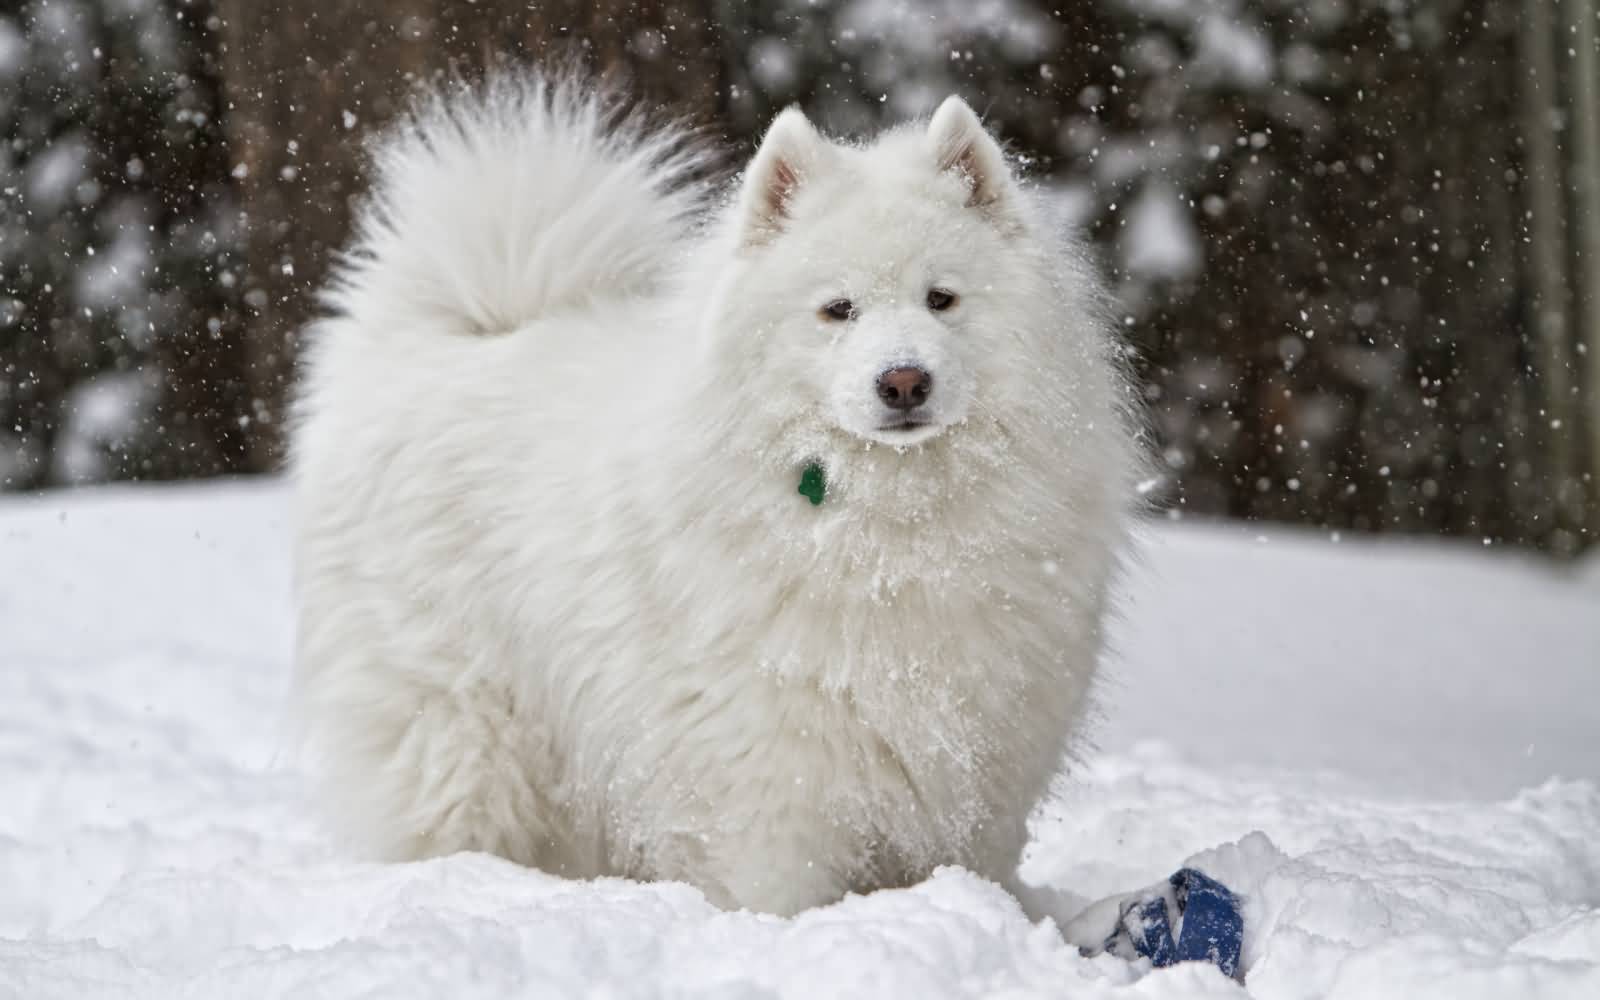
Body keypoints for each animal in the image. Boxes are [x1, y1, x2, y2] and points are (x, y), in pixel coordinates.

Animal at [288, 76, 1139, 921]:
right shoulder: (769, 775)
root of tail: (461, 335)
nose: (904, 381)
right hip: (464, 733)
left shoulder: (980, 765)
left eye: (941, 299)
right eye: (838, 309)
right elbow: (778, 895)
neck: (886, 530)